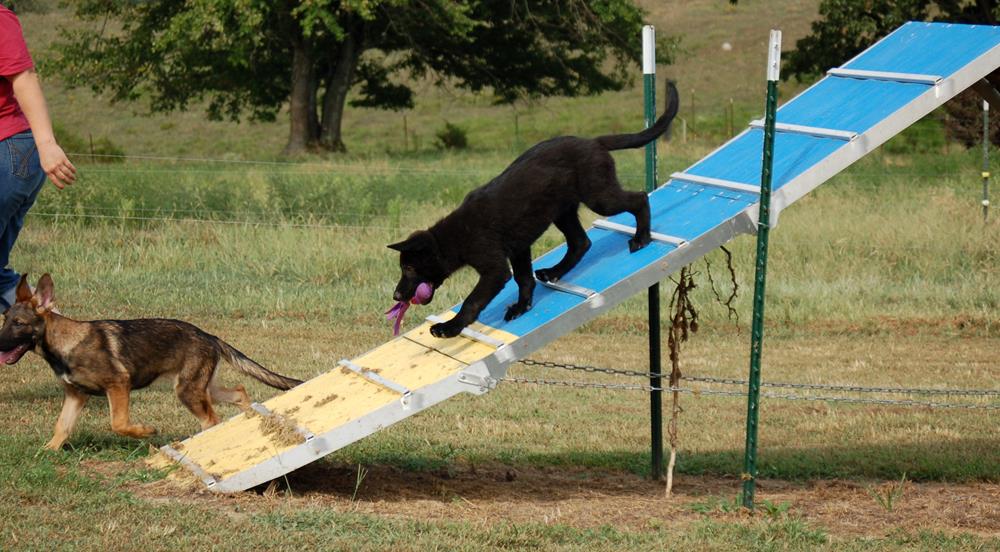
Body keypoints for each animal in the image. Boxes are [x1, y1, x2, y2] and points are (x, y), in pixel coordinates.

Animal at [0, 274, 302, 450]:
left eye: (19, 323)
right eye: (5, 320)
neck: (65, 343)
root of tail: (209, 336)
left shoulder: (118, 385)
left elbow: (118, 424)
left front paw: (145, 431)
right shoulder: (75, 395)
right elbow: (62, 426)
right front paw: (48, 451)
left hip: (188, 390)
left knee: (211, 419)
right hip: (202, 386)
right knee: (238, 392)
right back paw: (250, 415)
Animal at [389, 82, 679, 338]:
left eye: (410, 268)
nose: (396, 296)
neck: (451, 238)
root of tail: (593, 142)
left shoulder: (495, 268)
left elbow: (473, 300)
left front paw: (450, 328)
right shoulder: (518, 247)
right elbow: (524, 279)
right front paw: (521, 307)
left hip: (599, 196)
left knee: (639, 199)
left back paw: (641, 238)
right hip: (563, 210)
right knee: (580, 242)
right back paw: (554, 272)